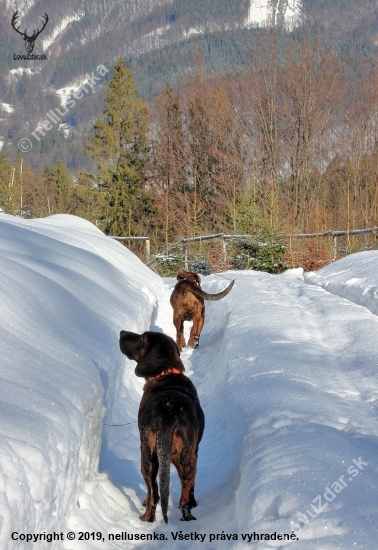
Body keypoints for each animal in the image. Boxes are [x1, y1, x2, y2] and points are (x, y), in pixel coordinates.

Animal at [119, 330, 205, 524]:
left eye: (142, 338)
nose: (121, 332)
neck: (166, 372)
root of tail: (169, 414)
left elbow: (153, 492)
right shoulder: (195, 450)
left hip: (147, 456)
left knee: (154, 492)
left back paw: (146, 517)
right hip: (187, 458)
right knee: (184, 495)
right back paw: (187, 514)